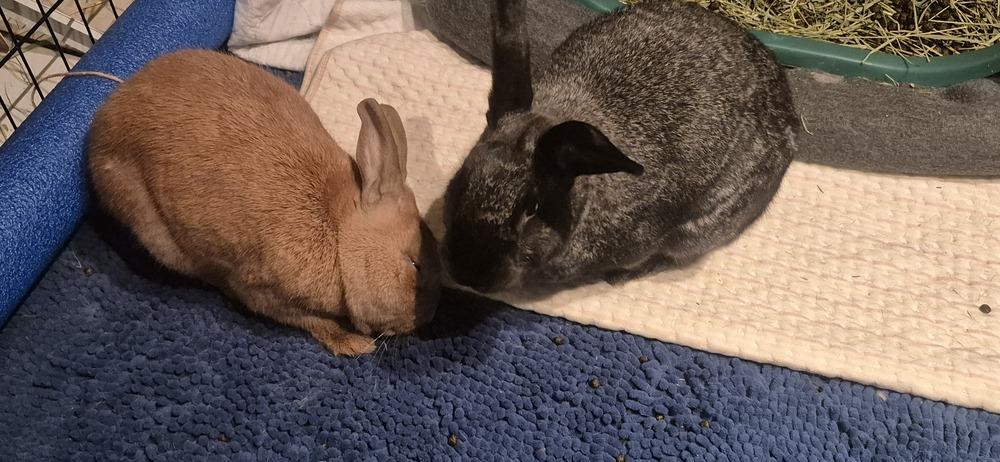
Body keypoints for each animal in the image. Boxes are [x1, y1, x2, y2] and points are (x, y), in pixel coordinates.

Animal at [87, 49, 441, 356]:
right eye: (415, 264)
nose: (425, 320)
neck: (340, 233)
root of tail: (101, 124)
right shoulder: (265, 292)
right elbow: (312, 322)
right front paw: (355, 345)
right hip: (156, 232)